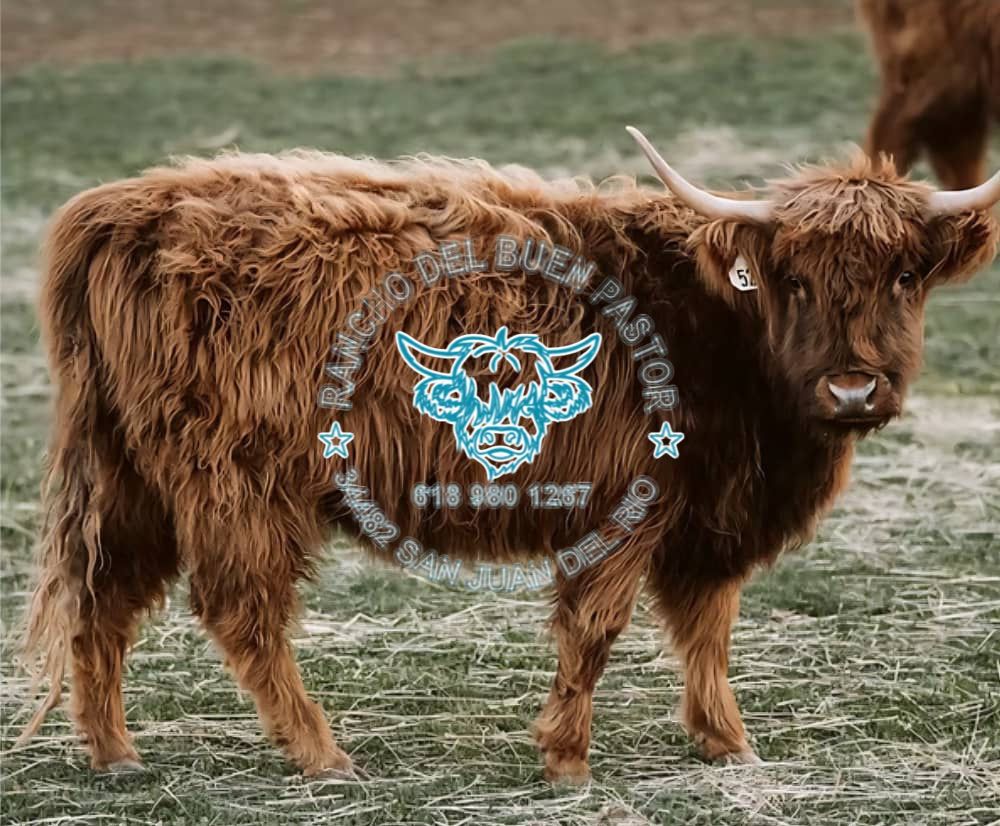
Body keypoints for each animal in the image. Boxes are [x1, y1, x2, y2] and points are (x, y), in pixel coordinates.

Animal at [16, 128, 1000, 783]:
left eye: (904, 278)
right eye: (794, 280)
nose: (852, 391)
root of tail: (121, 207)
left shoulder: (707, 518)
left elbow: (707, 628)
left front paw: (727, 741)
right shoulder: (628, 506)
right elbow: (598, 627)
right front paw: (567, 758)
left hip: (129, 471)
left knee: (103, 599)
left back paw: (115, 753)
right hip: (233, 478)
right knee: (239, 609)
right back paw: (323, 754)